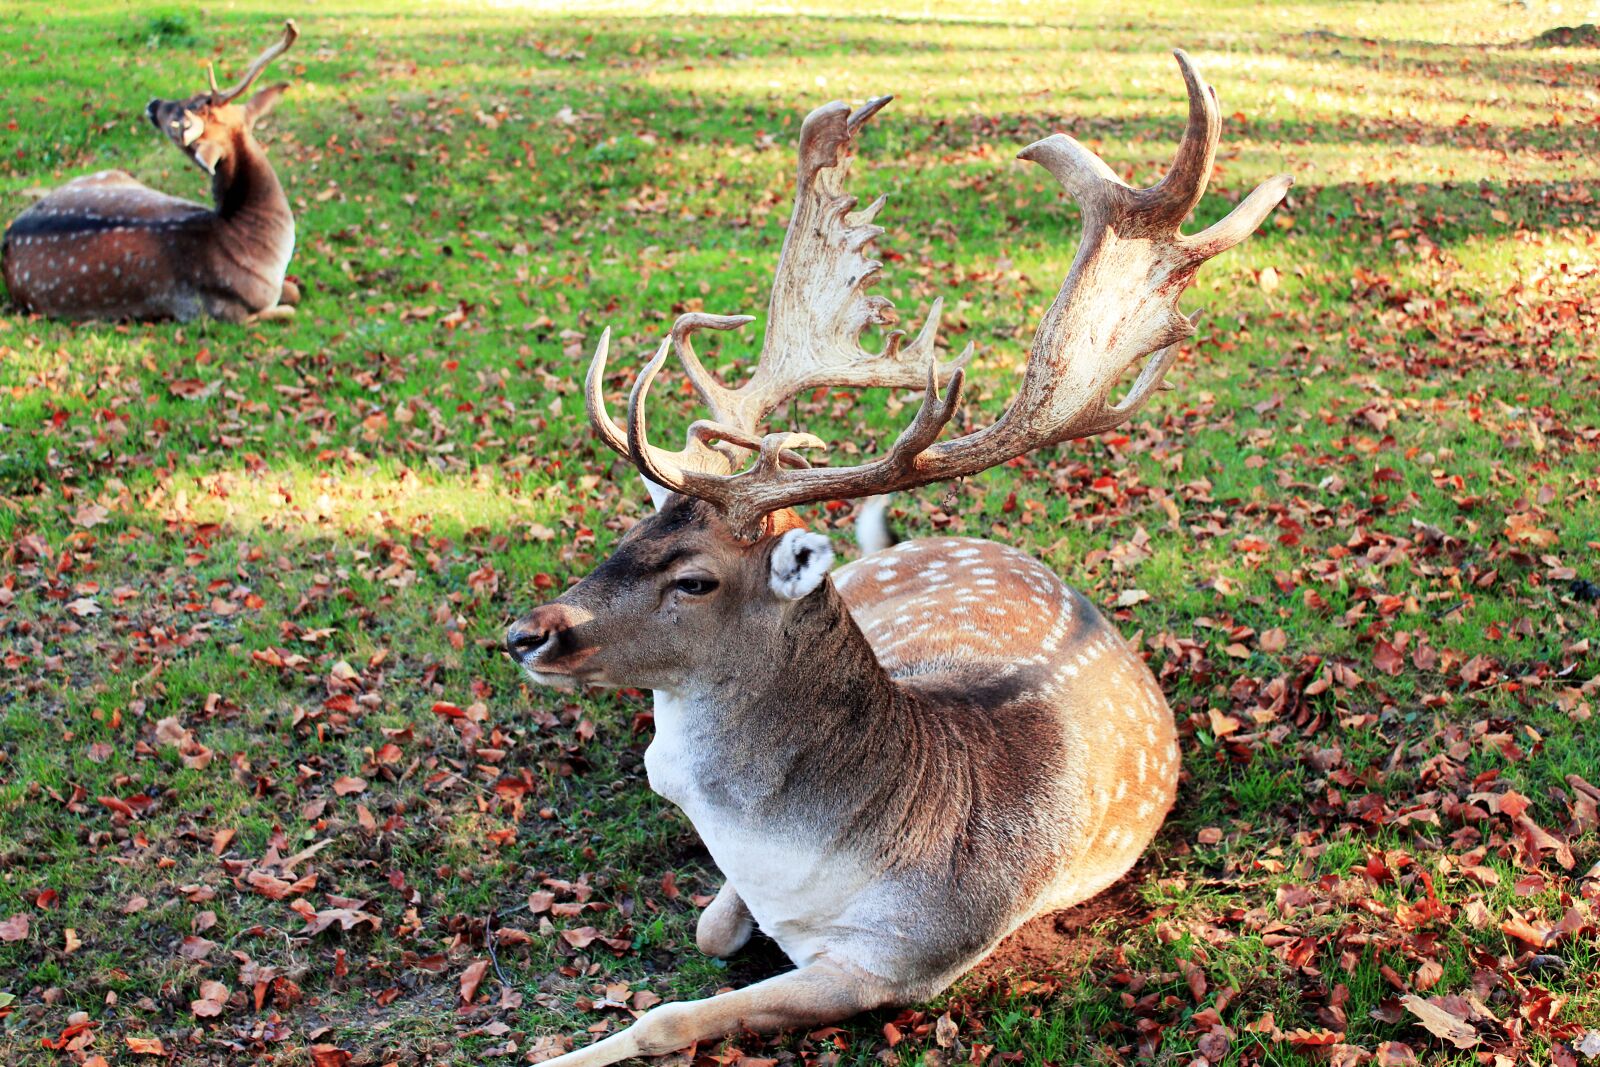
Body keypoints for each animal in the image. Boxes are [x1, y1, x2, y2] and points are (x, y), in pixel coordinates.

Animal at [1, 21, 300, 323]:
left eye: (184, 110)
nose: (154, 104)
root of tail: (7, 237)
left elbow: (294, 290)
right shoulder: (222, 312)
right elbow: (289, 308)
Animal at [505, 51, 1290, 1066]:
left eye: (695, 578)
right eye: (627, 536)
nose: (526, 633)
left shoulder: (903, 961)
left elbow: (674, 1012)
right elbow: (710, 928)